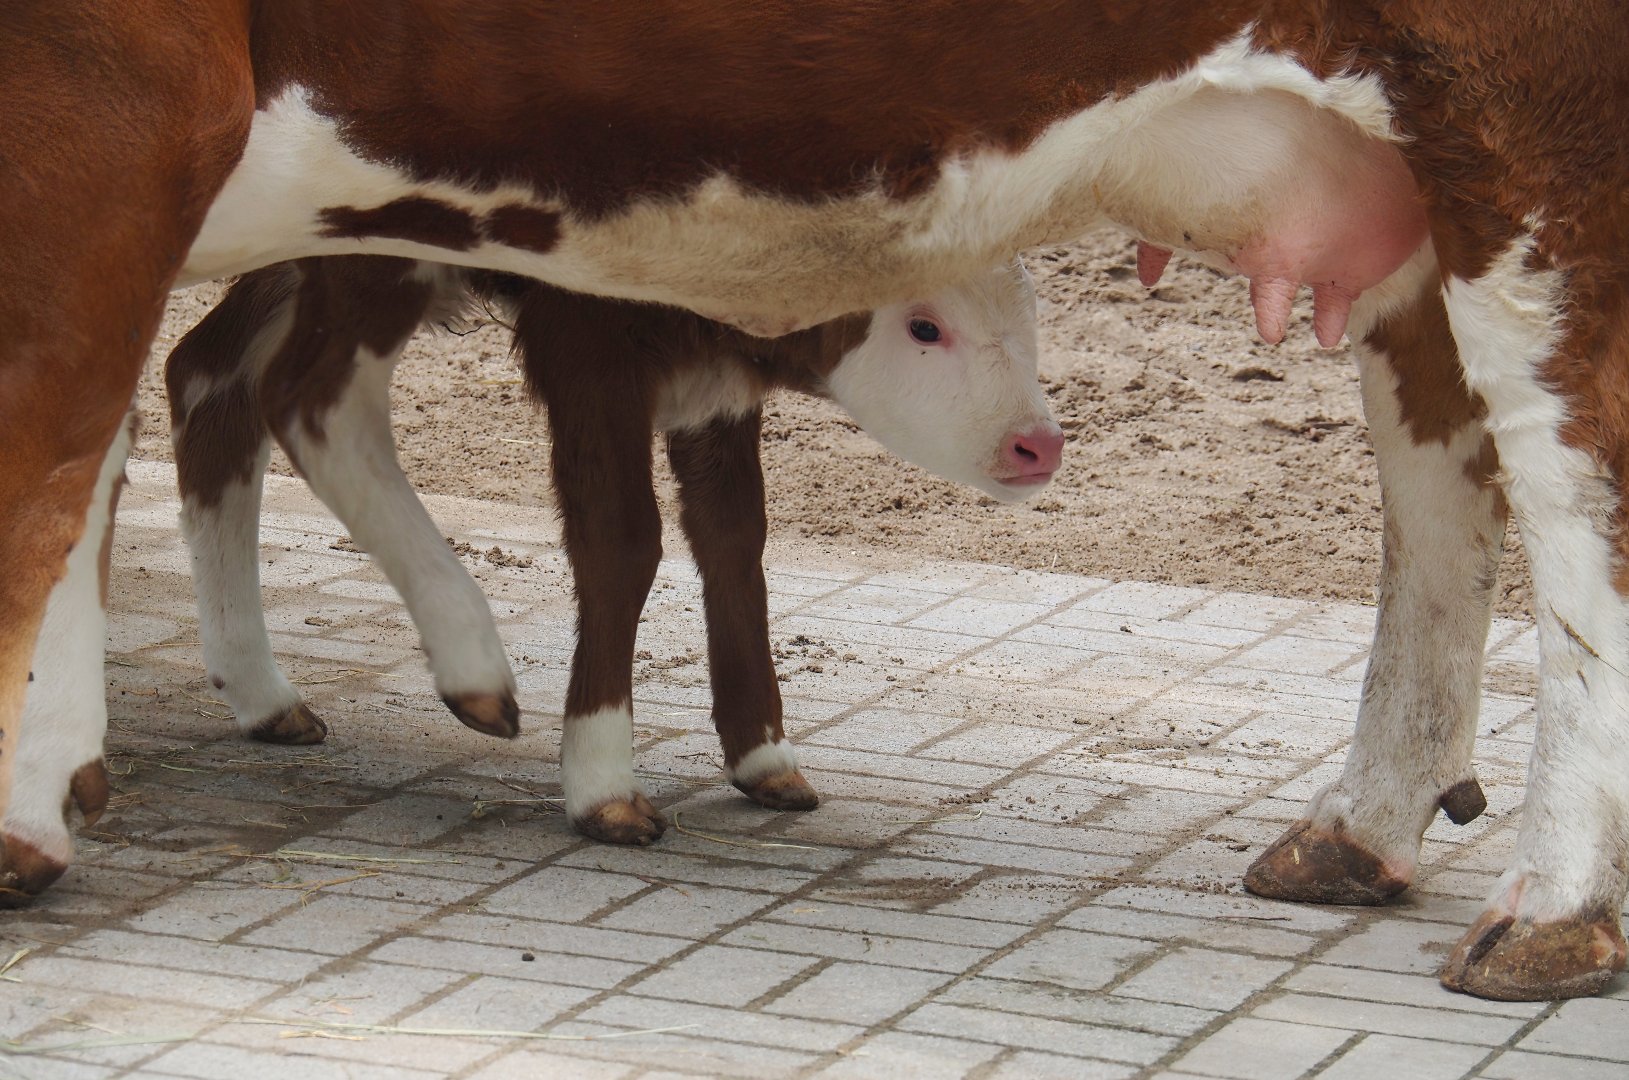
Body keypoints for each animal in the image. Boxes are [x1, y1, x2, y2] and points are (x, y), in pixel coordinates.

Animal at [154, 254, 1056, 847]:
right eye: (923, 326)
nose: (1039, 446)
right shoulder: (583, 327)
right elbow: (621, 538)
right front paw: (601, 782)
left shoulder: (711, 366)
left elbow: (732, 530)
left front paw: (762, 753)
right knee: (303, 397)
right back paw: (469, 671)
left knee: (209, 373)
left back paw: (261, 691)